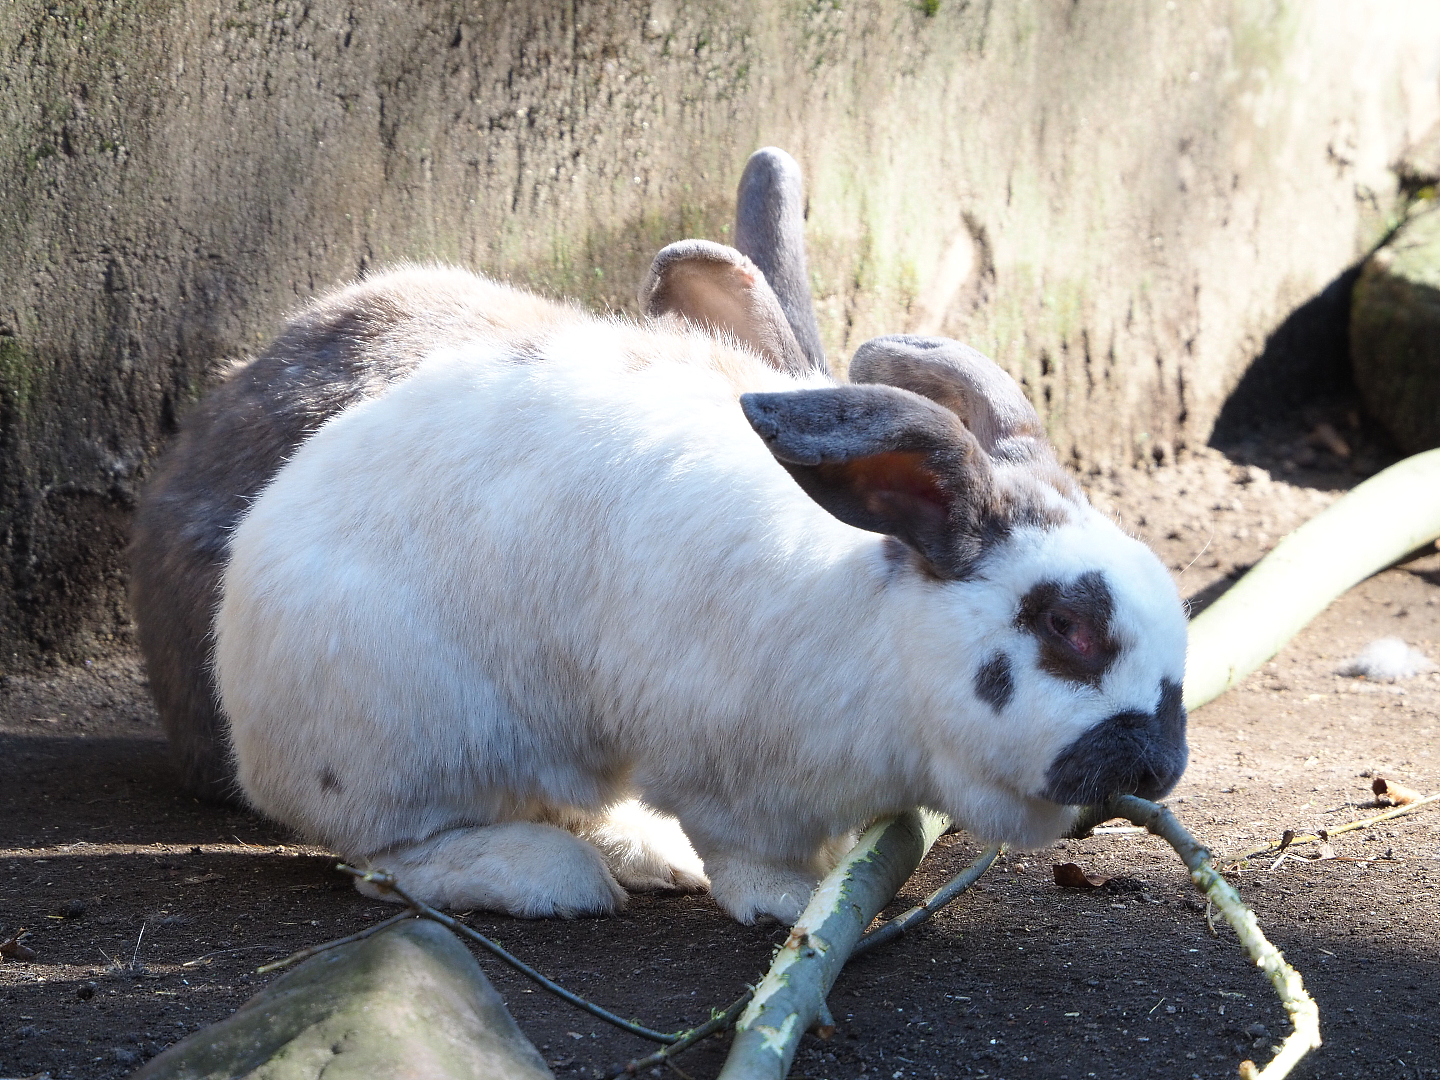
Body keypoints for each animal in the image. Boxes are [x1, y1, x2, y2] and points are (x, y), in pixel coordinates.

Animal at [213, 286, 1190, 925]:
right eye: (1067, 626)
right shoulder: (729, 771)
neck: (881, 636)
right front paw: (797, 902)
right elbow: (748, 854)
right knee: (390, 857)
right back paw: (555, 882)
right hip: (409, 735)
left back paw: (646, 857)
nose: (1160, 764)